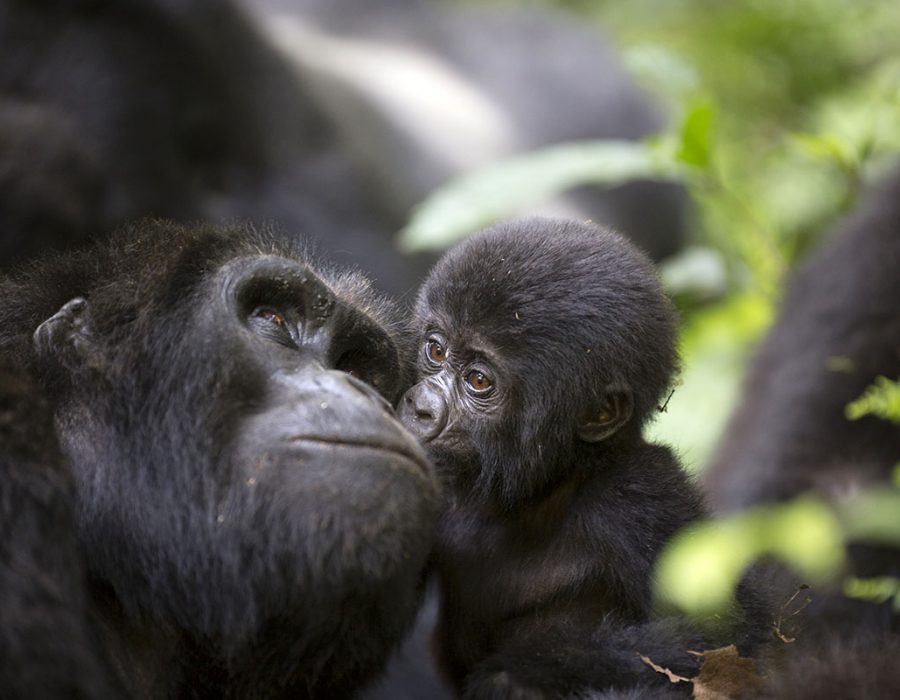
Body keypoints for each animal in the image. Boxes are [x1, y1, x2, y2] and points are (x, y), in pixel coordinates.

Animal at [400, 217, 724, 696]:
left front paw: (513, 671)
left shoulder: (639, 495)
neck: (543, 489)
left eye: (478, 380)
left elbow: (727, 641)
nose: (419, 406)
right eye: (436, 350)